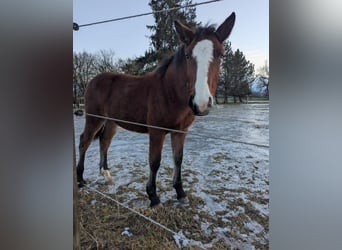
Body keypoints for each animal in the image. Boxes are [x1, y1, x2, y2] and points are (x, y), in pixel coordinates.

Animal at [77, 12, 235, 207]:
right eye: (188, 55)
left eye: (221, 55)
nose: (201, 103)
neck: (169, 91)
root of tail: (93, 80)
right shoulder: (156, 131)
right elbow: (154, 162)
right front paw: (153, 196)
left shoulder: (180, 131)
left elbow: (178, 159)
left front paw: (180, 193)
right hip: (94, 118)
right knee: (84, 142)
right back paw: (80, 180)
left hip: (112, 122)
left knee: (104, 141)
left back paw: (106, 175)